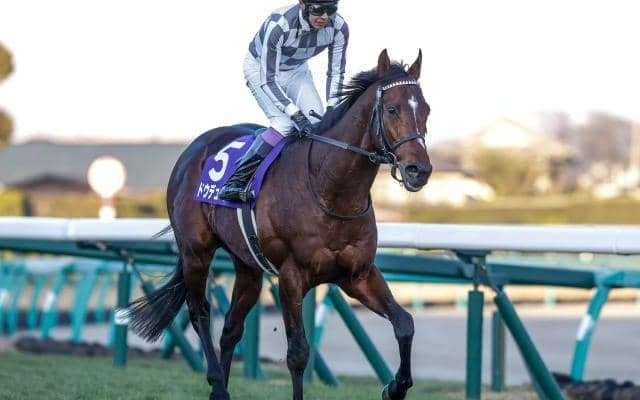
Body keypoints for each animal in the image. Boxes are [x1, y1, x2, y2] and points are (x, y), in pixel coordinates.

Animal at [127, 49, 432, 400]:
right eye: (392, 109)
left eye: (426, 109)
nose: (419, 171)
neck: (331, 191)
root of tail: (193, 150)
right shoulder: (291, 276)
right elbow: (298, 353)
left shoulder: (358, 274)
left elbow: (404, 322)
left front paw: (395, 387)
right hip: (196, 251)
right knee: (199, 312)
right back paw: (217, 384)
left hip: (247, 265)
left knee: (231, 327)